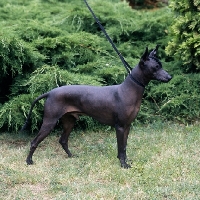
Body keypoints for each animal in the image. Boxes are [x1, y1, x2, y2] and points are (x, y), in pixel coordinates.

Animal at [21, 46, 172, 168]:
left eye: (161, 65)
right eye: (156, 67)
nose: (170, 77)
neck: (128, 90)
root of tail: (50, 92)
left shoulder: (127, 126)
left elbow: (124, 147)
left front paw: (126, 161)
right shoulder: (120, 127)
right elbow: (120, 147)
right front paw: (123, 164)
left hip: (69, 121)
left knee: (63, 140)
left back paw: (71, 156)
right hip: (49, 122)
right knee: (34, 142)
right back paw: (28, 161)